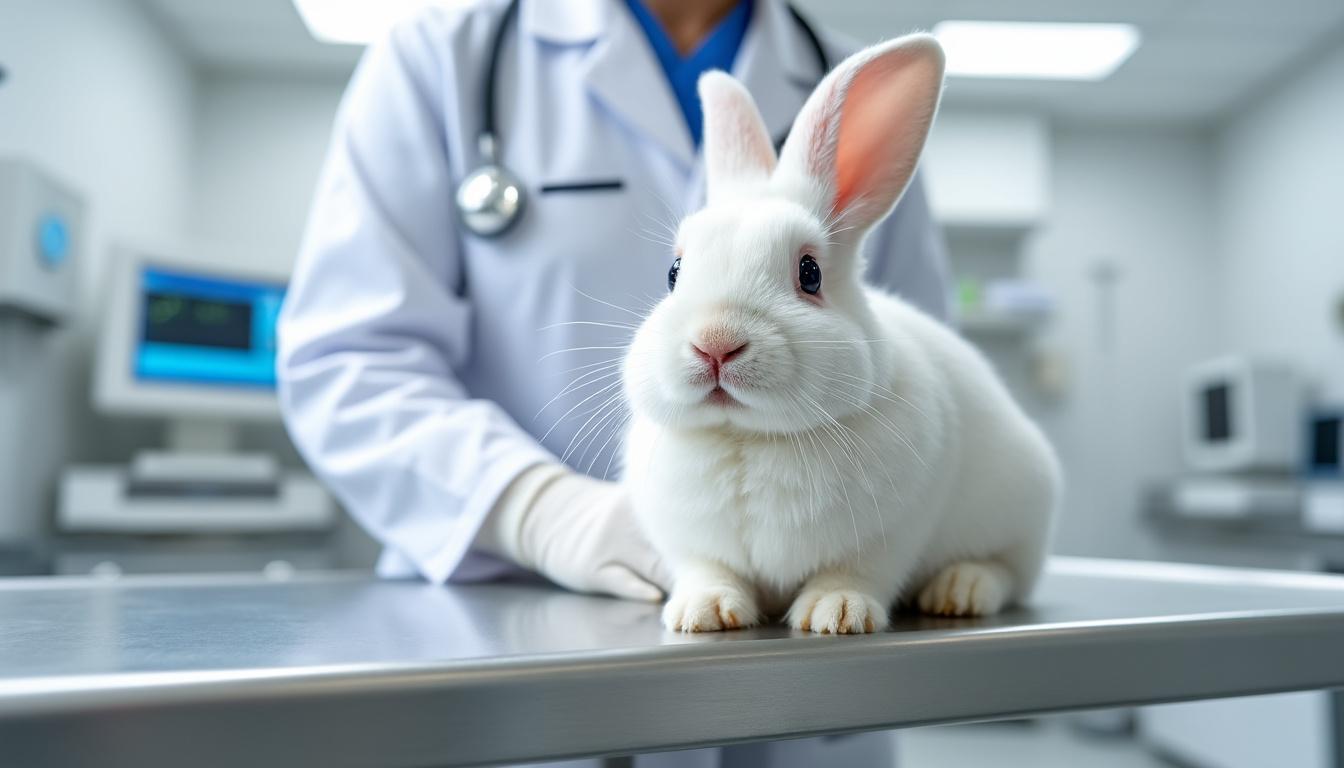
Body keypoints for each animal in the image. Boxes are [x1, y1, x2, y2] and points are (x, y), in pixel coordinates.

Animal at [620, 34, 1060, 634]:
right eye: (674, 272)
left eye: (810, 273)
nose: (714, 343)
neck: (751, 438)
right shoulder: (693, 544)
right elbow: (709, 569)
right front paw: (702, 611)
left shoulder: (888, 535)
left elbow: (854, 572)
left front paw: (837, 612)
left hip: (1020, 510)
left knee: (1008, 571)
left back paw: (960, 590)